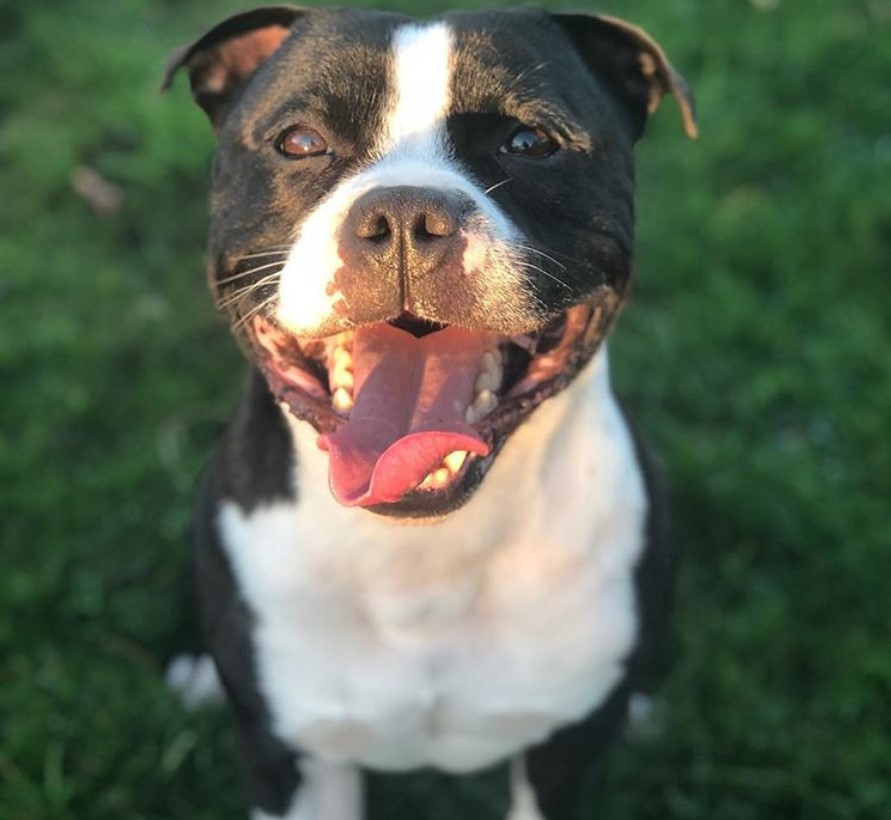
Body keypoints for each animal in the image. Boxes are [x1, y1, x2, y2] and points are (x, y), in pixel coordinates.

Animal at [166, 8, 696, 820]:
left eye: (529, 142)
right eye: (300, 141)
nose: (406, 215)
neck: (424, 558)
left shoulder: (560, 755)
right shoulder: (292, 761)